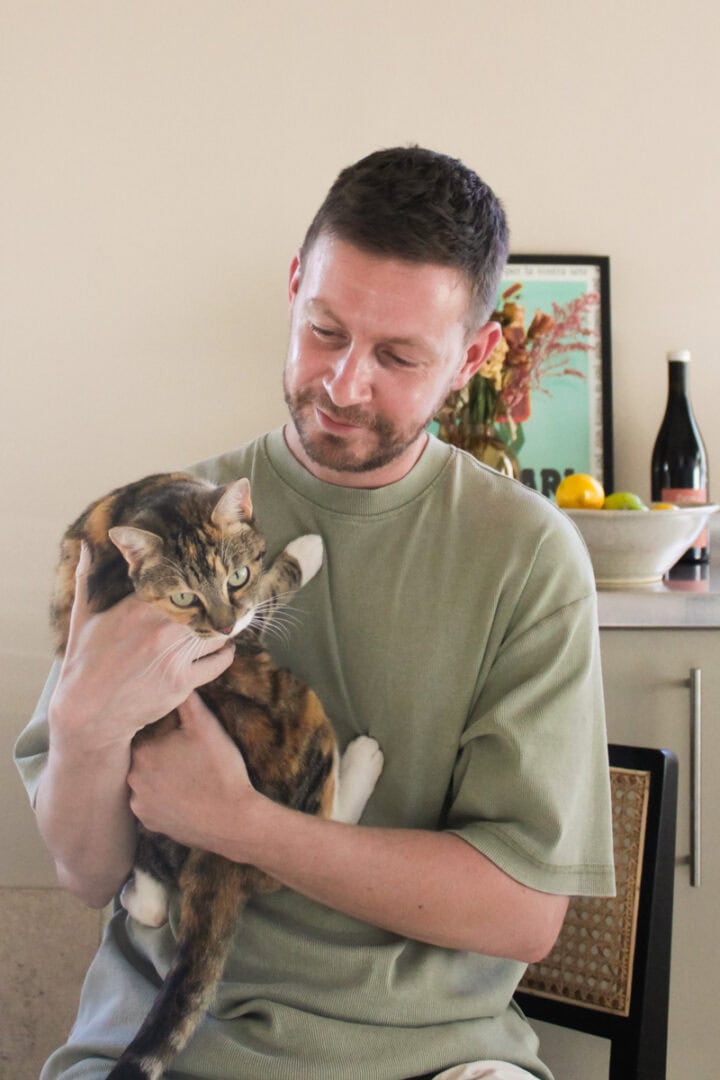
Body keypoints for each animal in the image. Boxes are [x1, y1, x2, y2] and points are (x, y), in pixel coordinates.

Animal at [52, 473, 382, 1080]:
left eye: (235, 575)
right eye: (184, 597)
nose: (223, 623)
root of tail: (220, 857)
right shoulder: (237, 637)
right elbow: (273, 591)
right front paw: (306, 552)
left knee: (153, 903)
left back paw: (136, 893)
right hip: (303, 714)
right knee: (325, 818)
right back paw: (365, 758)